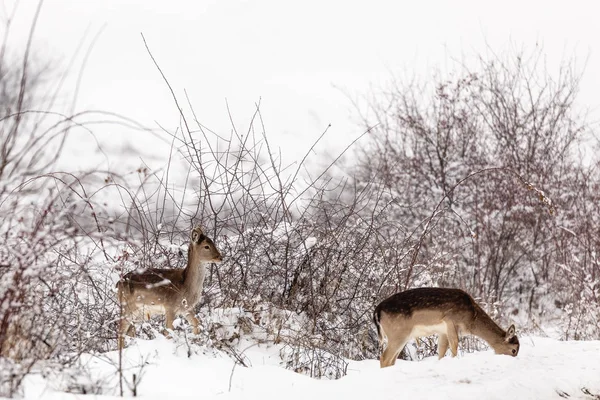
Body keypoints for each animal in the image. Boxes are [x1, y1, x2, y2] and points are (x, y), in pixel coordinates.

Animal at [372, 286, 516, 368]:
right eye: (514, 350)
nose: (513, 359)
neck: (472, 319)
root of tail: (377, 311)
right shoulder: (451, 320)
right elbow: (455, 346)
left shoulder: (442, 332)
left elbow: (441, 351)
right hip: (398, 334)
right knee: (384, 358)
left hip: (401, 337)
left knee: (391, 360)